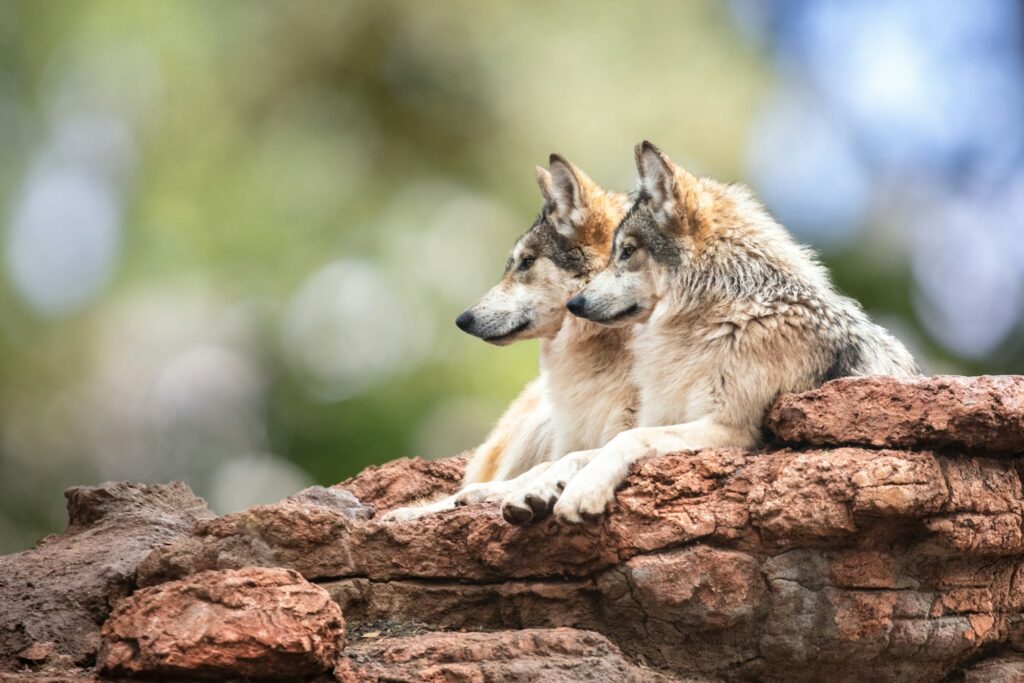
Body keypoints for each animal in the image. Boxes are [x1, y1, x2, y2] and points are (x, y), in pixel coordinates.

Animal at [503, 139, 921, 524]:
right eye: (615, 251)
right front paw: (533, 489)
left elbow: (626, 439)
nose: (575, 304)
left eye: (627, 252)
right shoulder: (665, 418)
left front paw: (582, 492)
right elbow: (575, 455)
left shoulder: (730, 429)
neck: (727, 316)